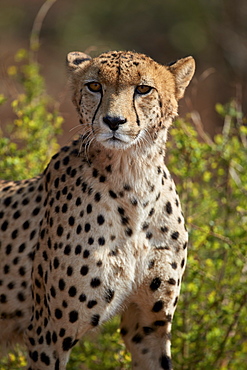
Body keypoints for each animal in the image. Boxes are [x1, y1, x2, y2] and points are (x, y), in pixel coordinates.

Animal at [0, 49, 195, 370]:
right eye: (94, 86)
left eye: (143, 89)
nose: (113, 121)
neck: (132, 179)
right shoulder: (47, 335)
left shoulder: (149, 326)